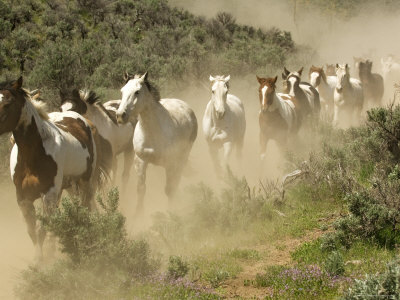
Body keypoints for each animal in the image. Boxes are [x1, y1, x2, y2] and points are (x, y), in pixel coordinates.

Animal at [115, 73, 197, 213]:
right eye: (122, 91)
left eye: (137, 92)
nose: (120, 116)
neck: (153, 131)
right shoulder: (141, 161)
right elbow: (141, 189)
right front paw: (138, 214)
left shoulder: (170, 164)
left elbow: (169, 190)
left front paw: (170, 212)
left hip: (182, 158)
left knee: (176, 180)